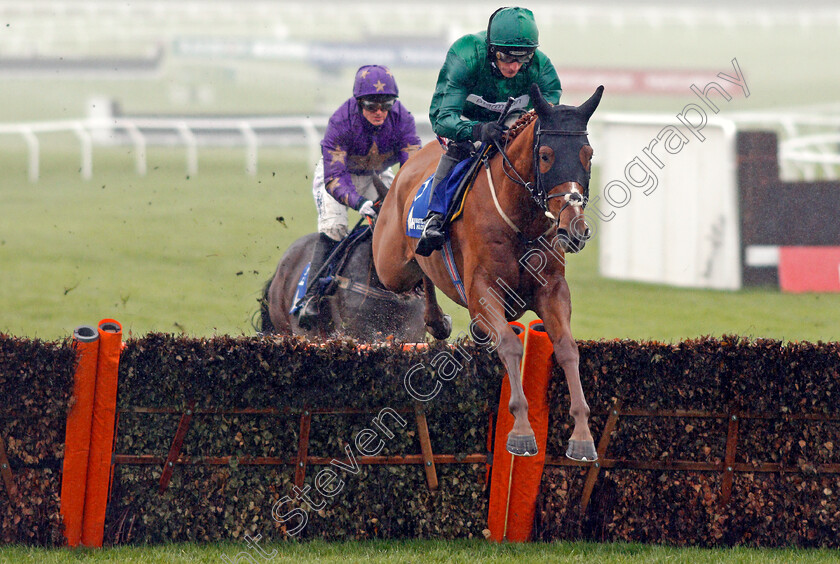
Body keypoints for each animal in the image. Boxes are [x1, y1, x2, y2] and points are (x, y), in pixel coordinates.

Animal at [370, 85, 600, 462]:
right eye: (546, 155)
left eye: (588, 154)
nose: (575, 229)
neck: (522, 222)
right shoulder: (483, 291)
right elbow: (509, 344)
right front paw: (521, 432)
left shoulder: (552, 290)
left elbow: (567, 348)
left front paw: (582, 436)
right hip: (391, 265)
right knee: (415, 272)